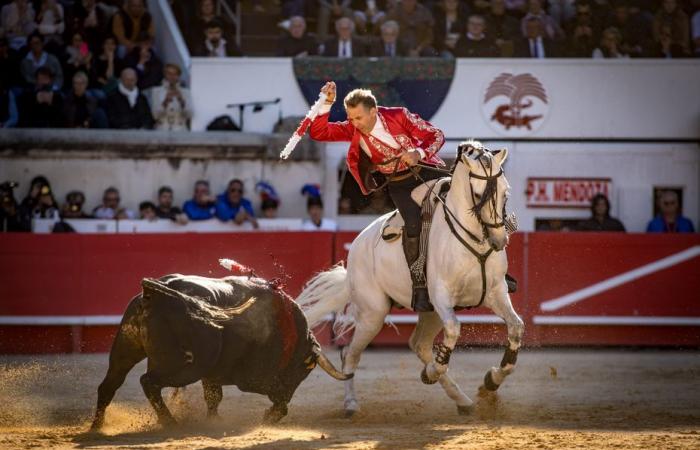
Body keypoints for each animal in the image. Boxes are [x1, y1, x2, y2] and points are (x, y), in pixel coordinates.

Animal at [91, 272, 348, 428]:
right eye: (304, 372)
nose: (287, 394)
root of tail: (157, 290)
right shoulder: (253, 378)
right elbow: (279, 404)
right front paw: (269, 416)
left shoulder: (213, 375)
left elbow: (213, 397)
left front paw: (214, 421)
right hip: (185, 367)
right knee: (148, 382)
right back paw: (170, 422)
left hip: (125, 349)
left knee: (109, 385)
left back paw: (97, 426)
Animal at [296, 142, 524, 416]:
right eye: (479, 195)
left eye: (505, 193)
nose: (499, 241)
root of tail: (358, 245)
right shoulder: (442, 296)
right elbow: (454, 329)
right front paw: (432, 373)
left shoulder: (495, 292)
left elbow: (516, 327)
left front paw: (490, 381)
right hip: (373, 314)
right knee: (350, 354)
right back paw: (351, 403)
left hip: (428, 311)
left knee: (419, 344)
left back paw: (462, 400)